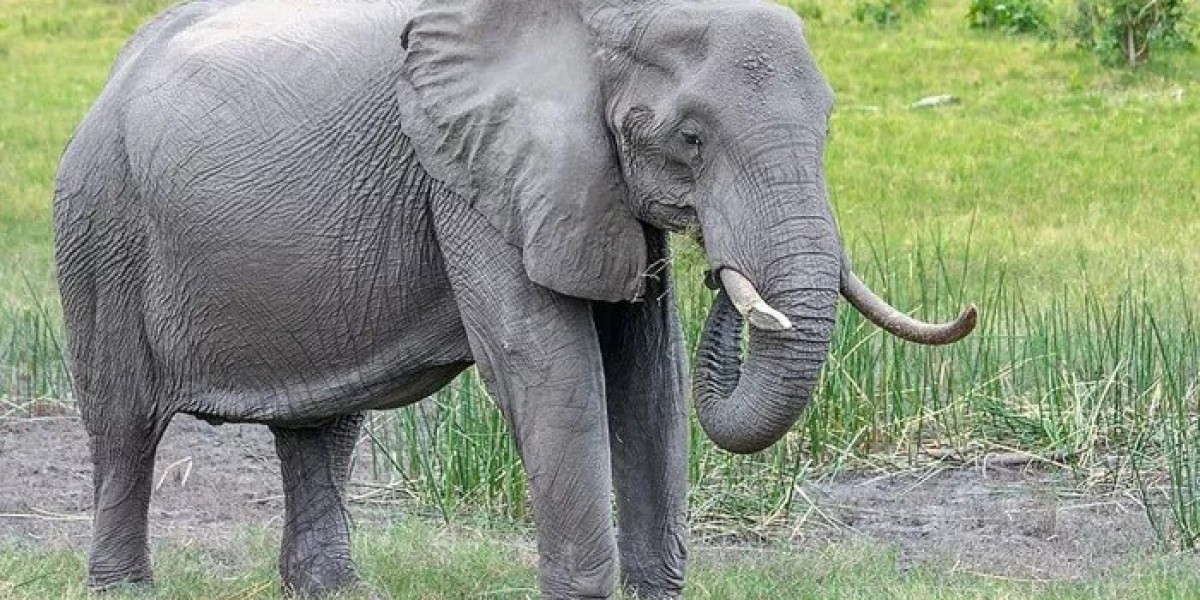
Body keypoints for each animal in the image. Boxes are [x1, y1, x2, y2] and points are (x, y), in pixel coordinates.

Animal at [53, 0, 976, 597]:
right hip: (103, 225)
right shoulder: (469, 174)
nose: (722, 274)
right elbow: (548, 369)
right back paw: (125, 589)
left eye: (828, 126)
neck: (596, 21)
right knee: (125, 426)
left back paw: (336, 591)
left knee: (323, 425)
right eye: (690, 139)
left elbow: (651, 378)